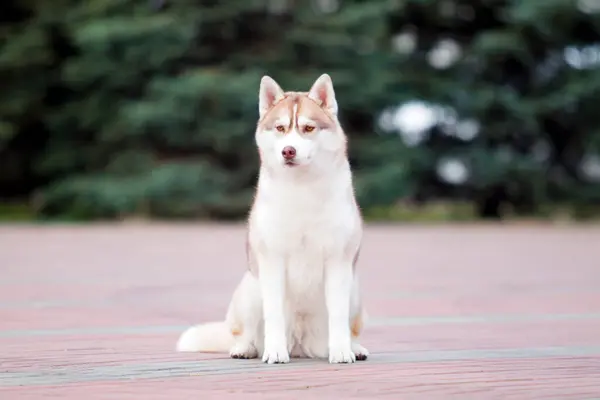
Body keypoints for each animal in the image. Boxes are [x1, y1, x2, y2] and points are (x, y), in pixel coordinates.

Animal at [176, 73, 368, 364]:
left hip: (355, 290)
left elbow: (338, 315)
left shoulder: (338, 261)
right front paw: (275, 351)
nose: (288, 150)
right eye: (280, 128)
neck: (302, 190)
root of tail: (300, 343)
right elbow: (274, 313)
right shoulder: (273, 261)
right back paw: (245, 348)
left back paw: (354, 347)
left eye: (308, 128)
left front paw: (342, 351)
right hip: (250, 288)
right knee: (246, 333)